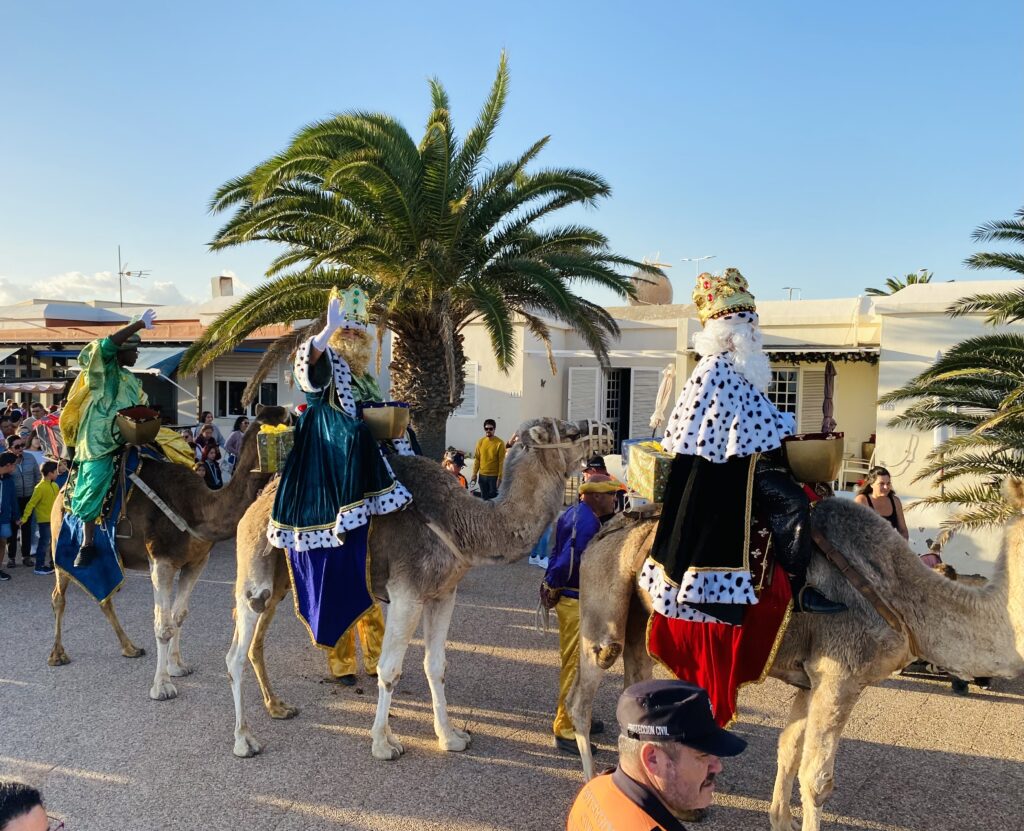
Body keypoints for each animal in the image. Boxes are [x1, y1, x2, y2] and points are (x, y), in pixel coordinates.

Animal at [48, 405, 288, 704]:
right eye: (288, 427)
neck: (197, 508)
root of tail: (62, 493)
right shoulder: (161, 561)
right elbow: (162, 625)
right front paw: (161, 687)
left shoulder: (196, 561)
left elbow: (179, 615)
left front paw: (177, 667)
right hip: (59, 542)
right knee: (59, 596)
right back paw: (57, 654)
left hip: (111, 557)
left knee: (104, 597)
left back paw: (130, 647)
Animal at [226, 415, 606, 761]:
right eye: (569, 432)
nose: (602, 429)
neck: (462, 524)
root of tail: (258, 500)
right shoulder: (406, 593)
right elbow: (389, 670)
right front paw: (383, 744)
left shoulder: (442, 594)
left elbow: (435, 665)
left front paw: (451, 737)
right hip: (255, 568)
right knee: (236, 651)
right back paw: (245, 740)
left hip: (280, 581)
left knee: (256, 642)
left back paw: (278, 707)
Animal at [569, 489, 1024, 831]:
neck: (901, 596)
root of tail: (607, 526)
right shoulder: (839, 674)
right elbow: (817, 779)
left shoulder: (810, 680)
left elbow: (788, 751)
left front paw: (780, 820)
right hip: (605, 604)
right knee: (586, 691)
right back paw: (593, 785)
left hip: (639, 619)